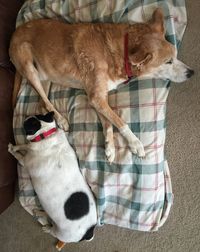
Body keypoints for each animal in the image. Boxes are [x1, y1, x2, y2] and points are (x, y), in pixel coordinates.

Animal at [8, 112, 97, 250]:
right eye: (38, 114)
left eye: (29, 124)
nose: (26, 117)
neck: (46, 134)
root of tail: (88, 232)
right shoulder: (30, 146)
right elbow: (24, 145)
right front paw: (16, 146)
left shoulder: (25, 161)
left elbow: (19, 155)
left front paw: (12, 149)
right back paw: (38, 211)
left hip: (61, 233)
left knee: (53, 231)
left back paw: (47, 228)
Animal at [9, 8, 194, 162]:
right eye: (168, 61)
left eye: (176, 56)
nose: (191, 73)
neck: (122, 52)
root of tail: (15, 32)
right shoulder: (96, 97)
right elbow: (119, 121)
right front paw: (135, 143)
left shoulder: (99, 97)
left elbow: (108, 123)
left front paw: (110, 148)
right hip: (29, 67)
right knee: (45, 101)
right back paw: (61, 120)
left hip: (45, 78)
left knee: (41, 103)